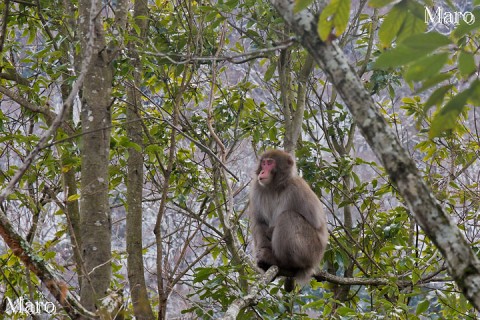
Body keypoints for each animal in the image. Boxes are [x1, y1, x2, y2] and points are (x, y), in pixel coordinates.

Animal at [249, 149, 328, 292]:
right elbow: (259, 222)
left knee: (287, 216)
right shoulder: (257, 189)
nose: (262, 172)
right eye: (263, 163)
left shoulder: (297, 188)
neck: (275, 187)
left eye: (270, 163)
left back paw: (282, 262)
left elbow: (318, 224)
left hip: (311, 250)